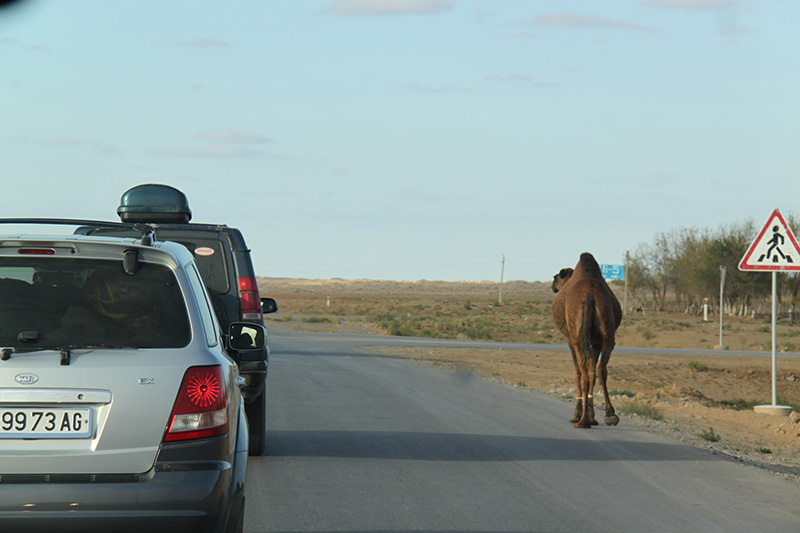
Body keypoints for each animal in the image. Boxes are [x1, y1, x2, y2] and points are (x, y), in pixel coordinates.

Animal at [552, 252, 620, 428]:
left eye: (557, 278)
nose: (553, 284)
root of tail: (589, 297)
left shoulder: (570, 340)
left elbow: (577, 373)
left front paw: (578, 414)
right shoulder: (594, 342)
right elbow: (592, 374)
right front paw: (592, 415)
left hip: (577, 338)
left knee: (582, 373)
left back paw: (581, 420)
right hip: (607, 335)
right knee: (601, 369)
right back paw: (610, 415)